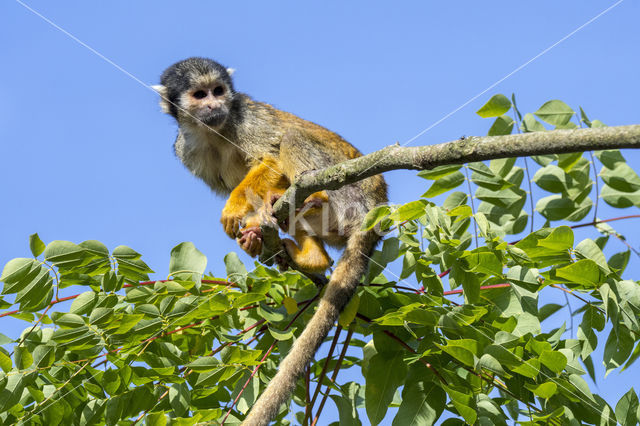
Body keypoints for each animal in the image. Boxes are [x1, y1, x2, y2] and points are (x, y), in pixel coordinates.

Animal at [154, 57, 384, 426]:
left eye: (218, 90)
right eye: (200, 95)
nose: (216, 104)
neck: (215, 130)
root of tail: (376, 211)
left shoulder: (247, 116)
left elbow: (271, 157)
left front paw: (235, 208)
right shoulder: (186, 149)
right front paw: (250, 232)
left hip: (350, 195)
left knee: (291, 139)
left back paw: (313, 196)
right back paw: (309, 256)